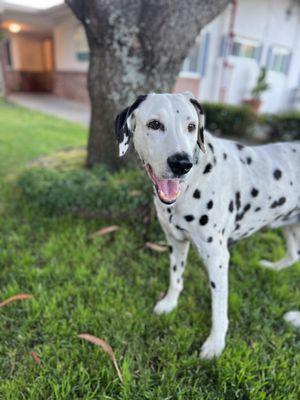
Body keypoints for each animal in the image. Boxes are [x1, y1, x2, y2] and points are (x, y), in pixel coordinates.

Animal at [113, 92, 298, 358]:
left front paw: (216, 344)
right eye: (155, 124)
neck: (195, 178)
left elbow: (219, 308)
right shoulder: (176, 242)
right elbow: (176, 278)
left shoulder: (218, 257)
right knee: (294, 255)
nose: (181, 164)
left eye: (191, 126)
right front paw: (169, 303)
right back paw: (274, 268)